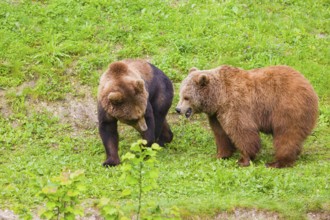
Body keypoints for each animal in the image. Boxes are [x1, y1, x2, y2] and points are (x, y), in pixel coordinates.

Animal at [177, 64, 318, 168]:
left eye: (186, 97)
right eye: (180, 95)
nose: (178, 109)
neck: (218, 97)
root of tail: (310, 86)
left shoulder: (236, 105)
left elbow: (242, 131)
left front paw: (243, 159)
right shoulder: (216, 114)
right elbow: (221, 134)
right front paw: (220, 155)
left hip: (287, 107)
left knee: (286, 135)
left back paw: (277, 162)